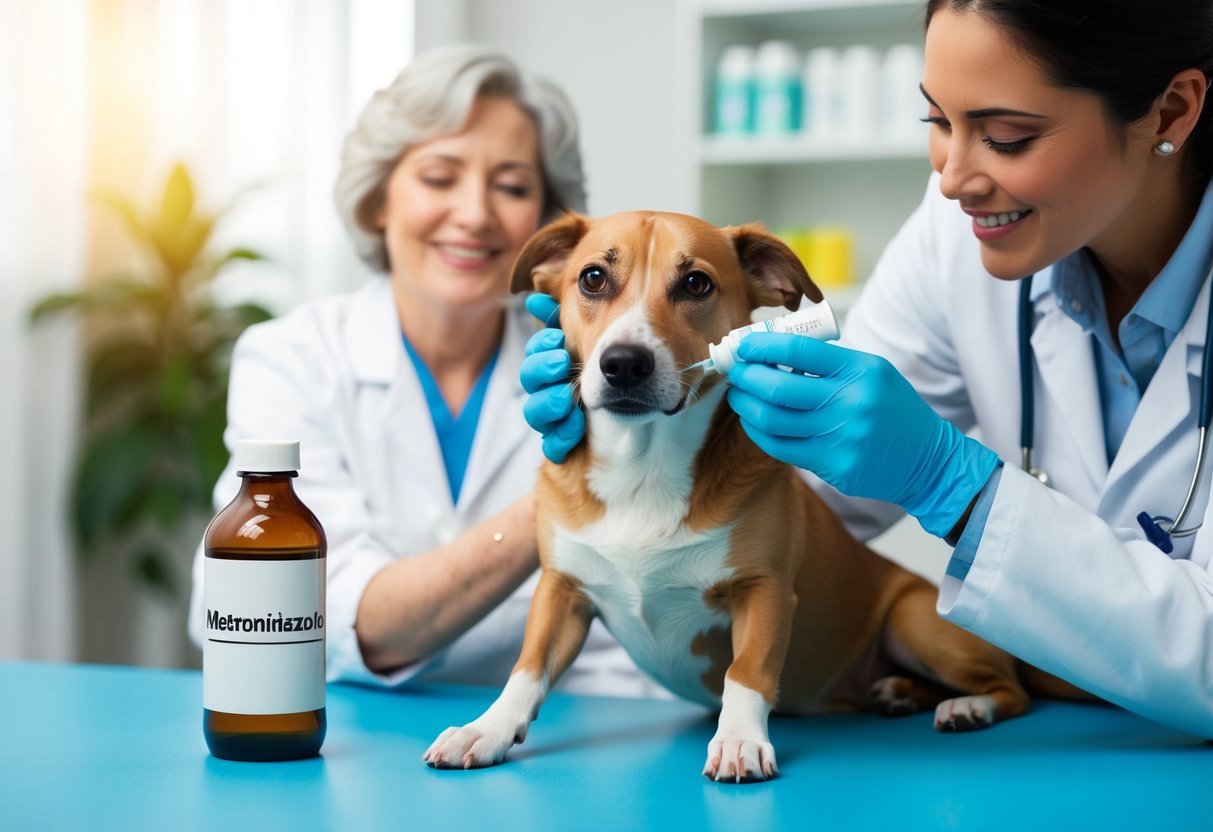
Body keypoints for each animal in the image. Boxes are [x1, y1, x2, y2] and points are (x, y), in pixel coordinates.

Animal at [422, 212, 1038, 785]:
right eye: (593, 277)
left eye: (696, 283)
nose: (623, 363)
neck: (643, 471)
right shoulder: (561, 590)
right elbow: (527, 669)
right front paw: (487, 728)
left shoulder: (764, 591)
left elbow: (746, 672)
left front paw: (739, 740)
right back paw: (900, 693)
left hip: (916, 621)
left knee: (1014, 691)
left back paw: (966, 705)